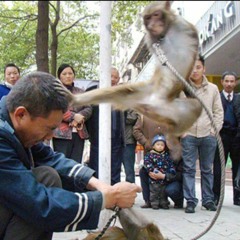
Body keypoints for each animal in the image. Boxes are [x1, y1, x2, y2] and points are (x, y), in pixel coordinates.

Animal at [54, 0, 202, 161]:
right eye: (148, 18)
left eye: (156, 15)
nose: (152, 25)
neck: (167, 30)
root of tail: (152, 103)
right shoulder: (151, 38)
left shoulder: (185, 26)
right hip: (142, 97)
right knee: (121, 92)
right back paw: (75, 98)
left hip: (168, 109)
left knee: (195, 106)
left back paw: (171, 137)